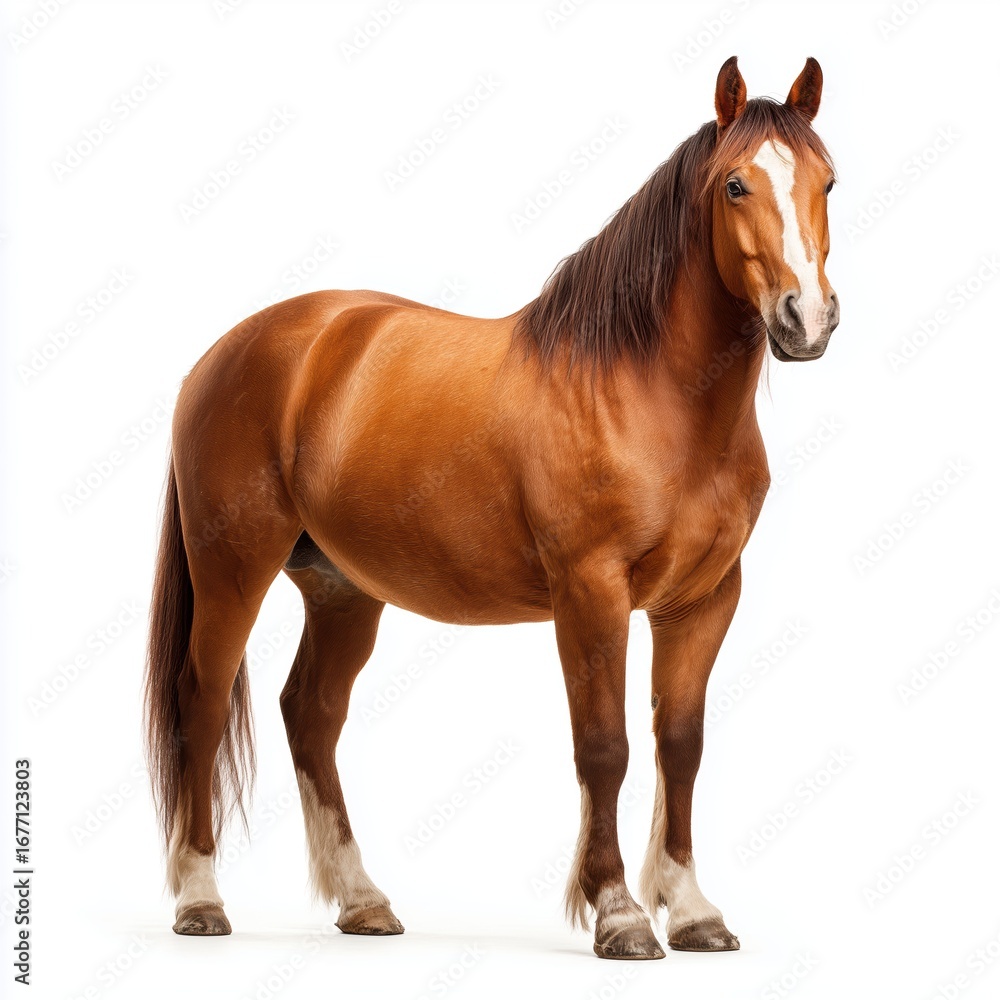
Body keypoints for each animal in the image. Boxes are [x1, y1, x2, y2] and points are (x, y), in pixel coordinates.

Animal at [144, 55, 838, 960]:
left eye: (829, 180)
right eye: (734, 185)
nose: (806, 319)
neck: (648, 392)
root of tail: (226, 353)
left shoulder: (705, 600)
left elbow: (680, 746)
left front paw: (691, 911)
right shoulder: (590, 594)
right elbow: (604, 747)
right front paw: (619, 913)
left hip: (340, 589)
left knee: (311, 714)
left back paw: (362, 900)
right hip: (233, 572)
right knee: (201, 701)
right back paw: (200, 900)